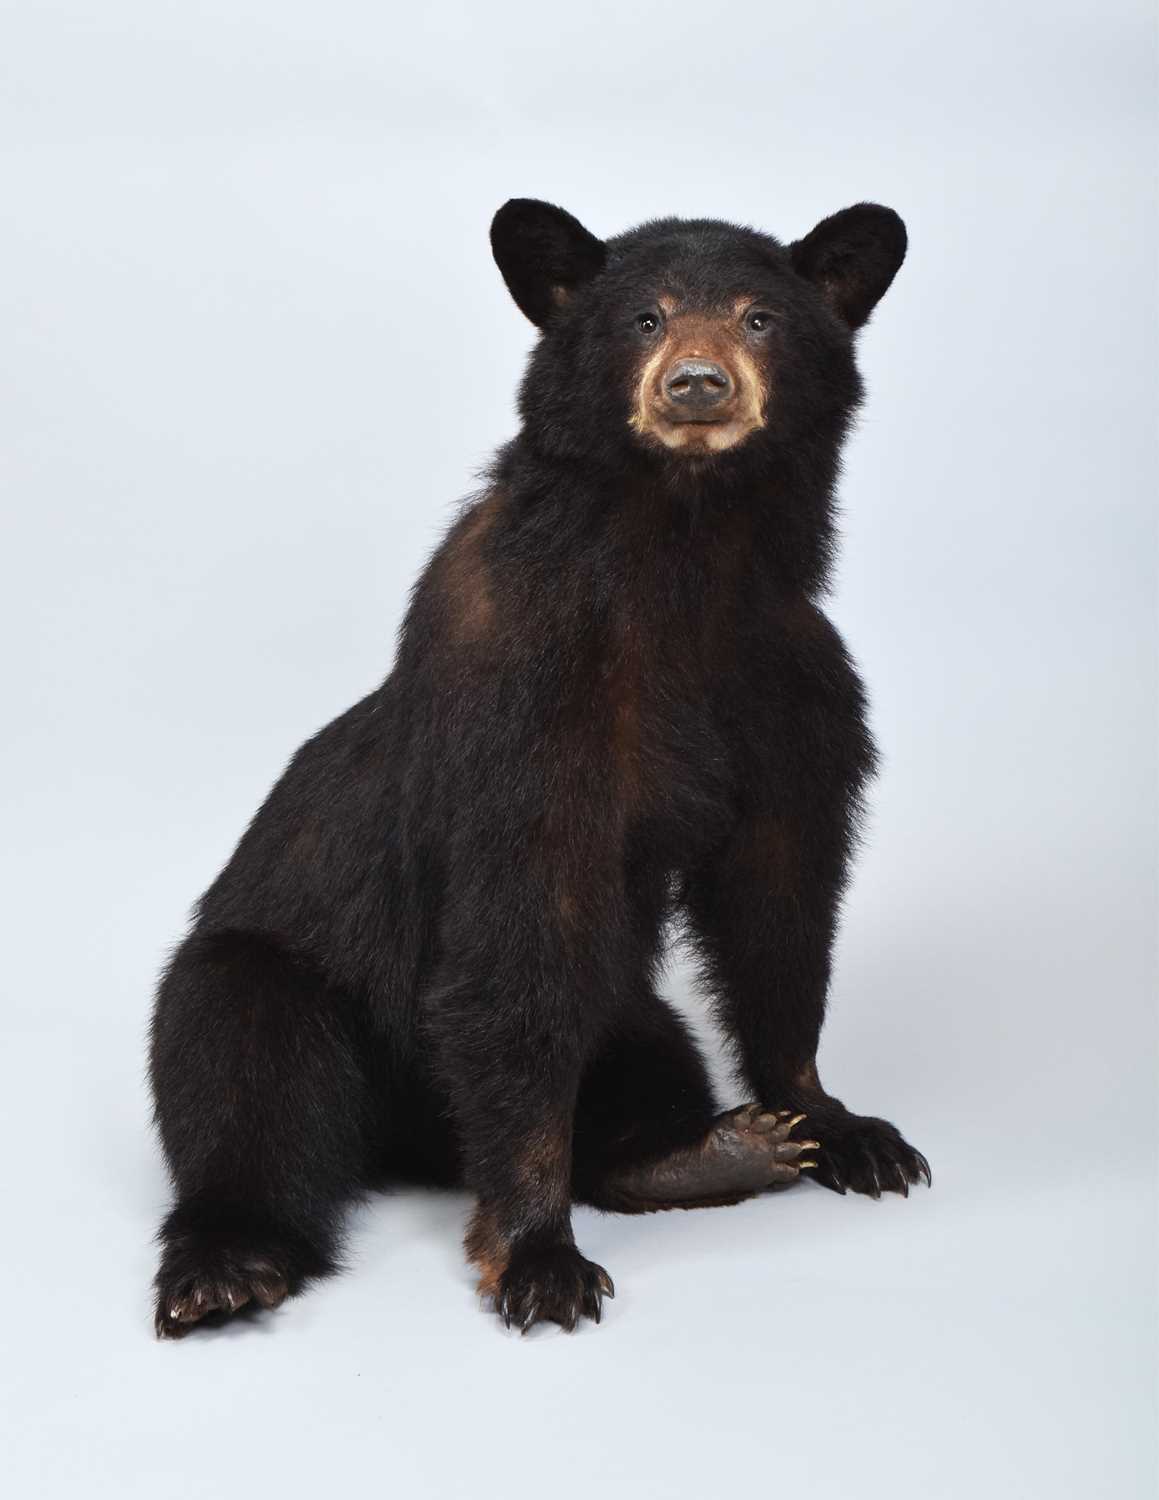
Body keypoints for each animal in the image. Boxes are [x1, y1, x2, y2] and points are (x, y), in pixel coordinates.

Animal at [149, 196, 928, 1339]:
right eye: (645, 318)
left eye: (760, 317)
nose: (698, 384)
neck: (684, 556)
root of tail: (412, 1148)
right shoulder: (526, 694)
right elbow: (521, 933)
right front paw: (538, 1252)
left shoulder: (786, 679)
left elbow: (778, 889)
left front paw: (834, 1121)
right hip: (275, 972)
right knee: (243, 1067)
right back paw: (225, 1263)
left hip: (628, 1010)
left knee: (644, 1054)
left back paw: (704, 1153)